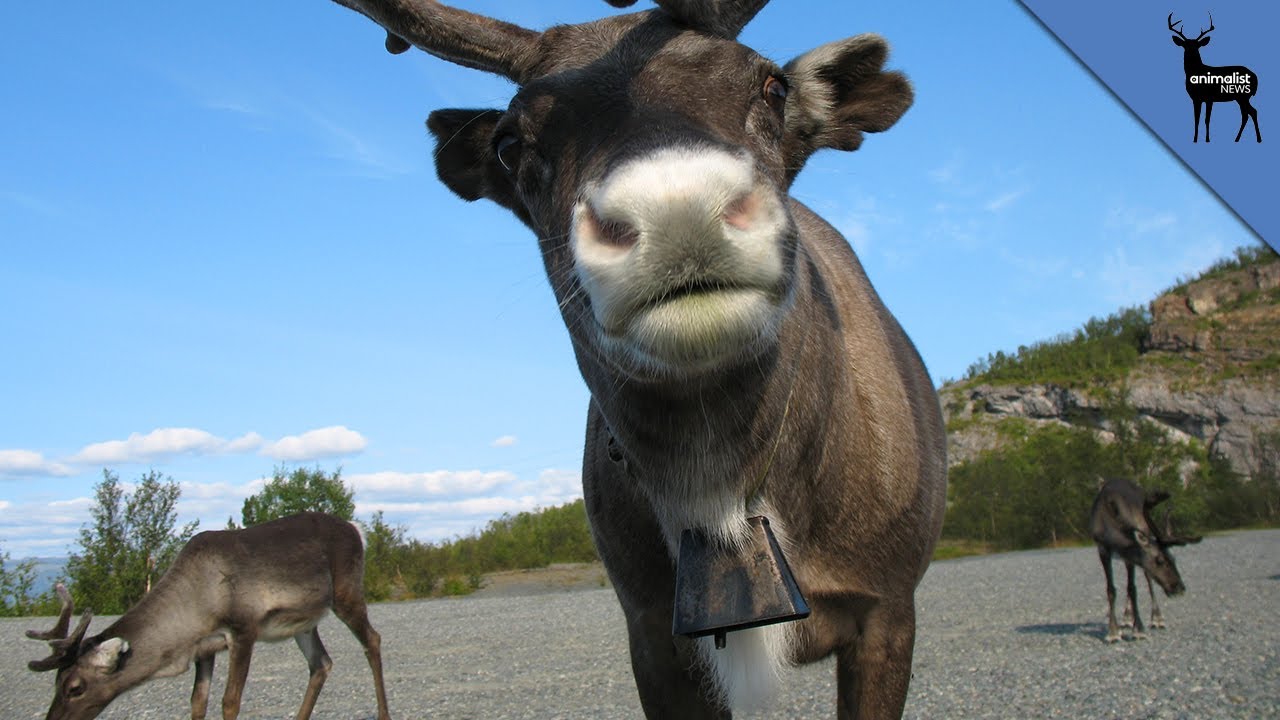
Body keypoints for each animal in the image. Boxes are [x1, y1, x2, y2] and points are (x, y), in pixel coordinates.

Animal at [26, 512, 392, 720]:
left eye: (75, 687)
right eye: (55, 682)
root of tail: (356, 529)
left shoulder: (244, 629)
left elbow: (230, 701)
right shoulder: (205, 647)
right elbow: (197, 702)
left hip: (347, 593)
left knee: (372, 640)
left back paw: (383, 714)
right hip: (304, 622)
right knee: (321, 663)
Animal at [312, 0, 946, 717]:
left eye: (773, 86)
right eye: (510, 142)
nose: (677, 209)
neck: (721, 497)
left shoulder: (888, 604)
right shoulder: (652, 634)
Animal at [1089, 477, 1202, 643]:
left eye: (1173, 558)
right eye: (1159, 560)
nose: (1180, 587)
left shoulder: (1131, 555)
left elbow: (1132, 588)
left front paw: (1139, 629)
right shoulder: (1103, 548)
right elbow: (1111, 589)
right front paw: (1113, 632)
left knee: (1148, 582)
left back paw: (1156, 618)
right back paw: (1127, 617)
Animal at [1168, 12, 1261, 143]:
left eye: (1197, 46)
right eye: (1185, 45)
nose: (1191, 53)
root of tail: (1255, 76)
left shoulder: (1209, 98)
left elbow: (1206, 119)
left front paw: (1207, 139)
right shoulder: (1196, 98)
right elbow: (1196, 119)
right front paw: (1195, 139)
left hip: (1243, 95)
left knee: (1251, 112)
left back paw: (1256, 138)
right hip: (1241, 97)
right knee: (1247, 114)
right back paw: (1238, 139)